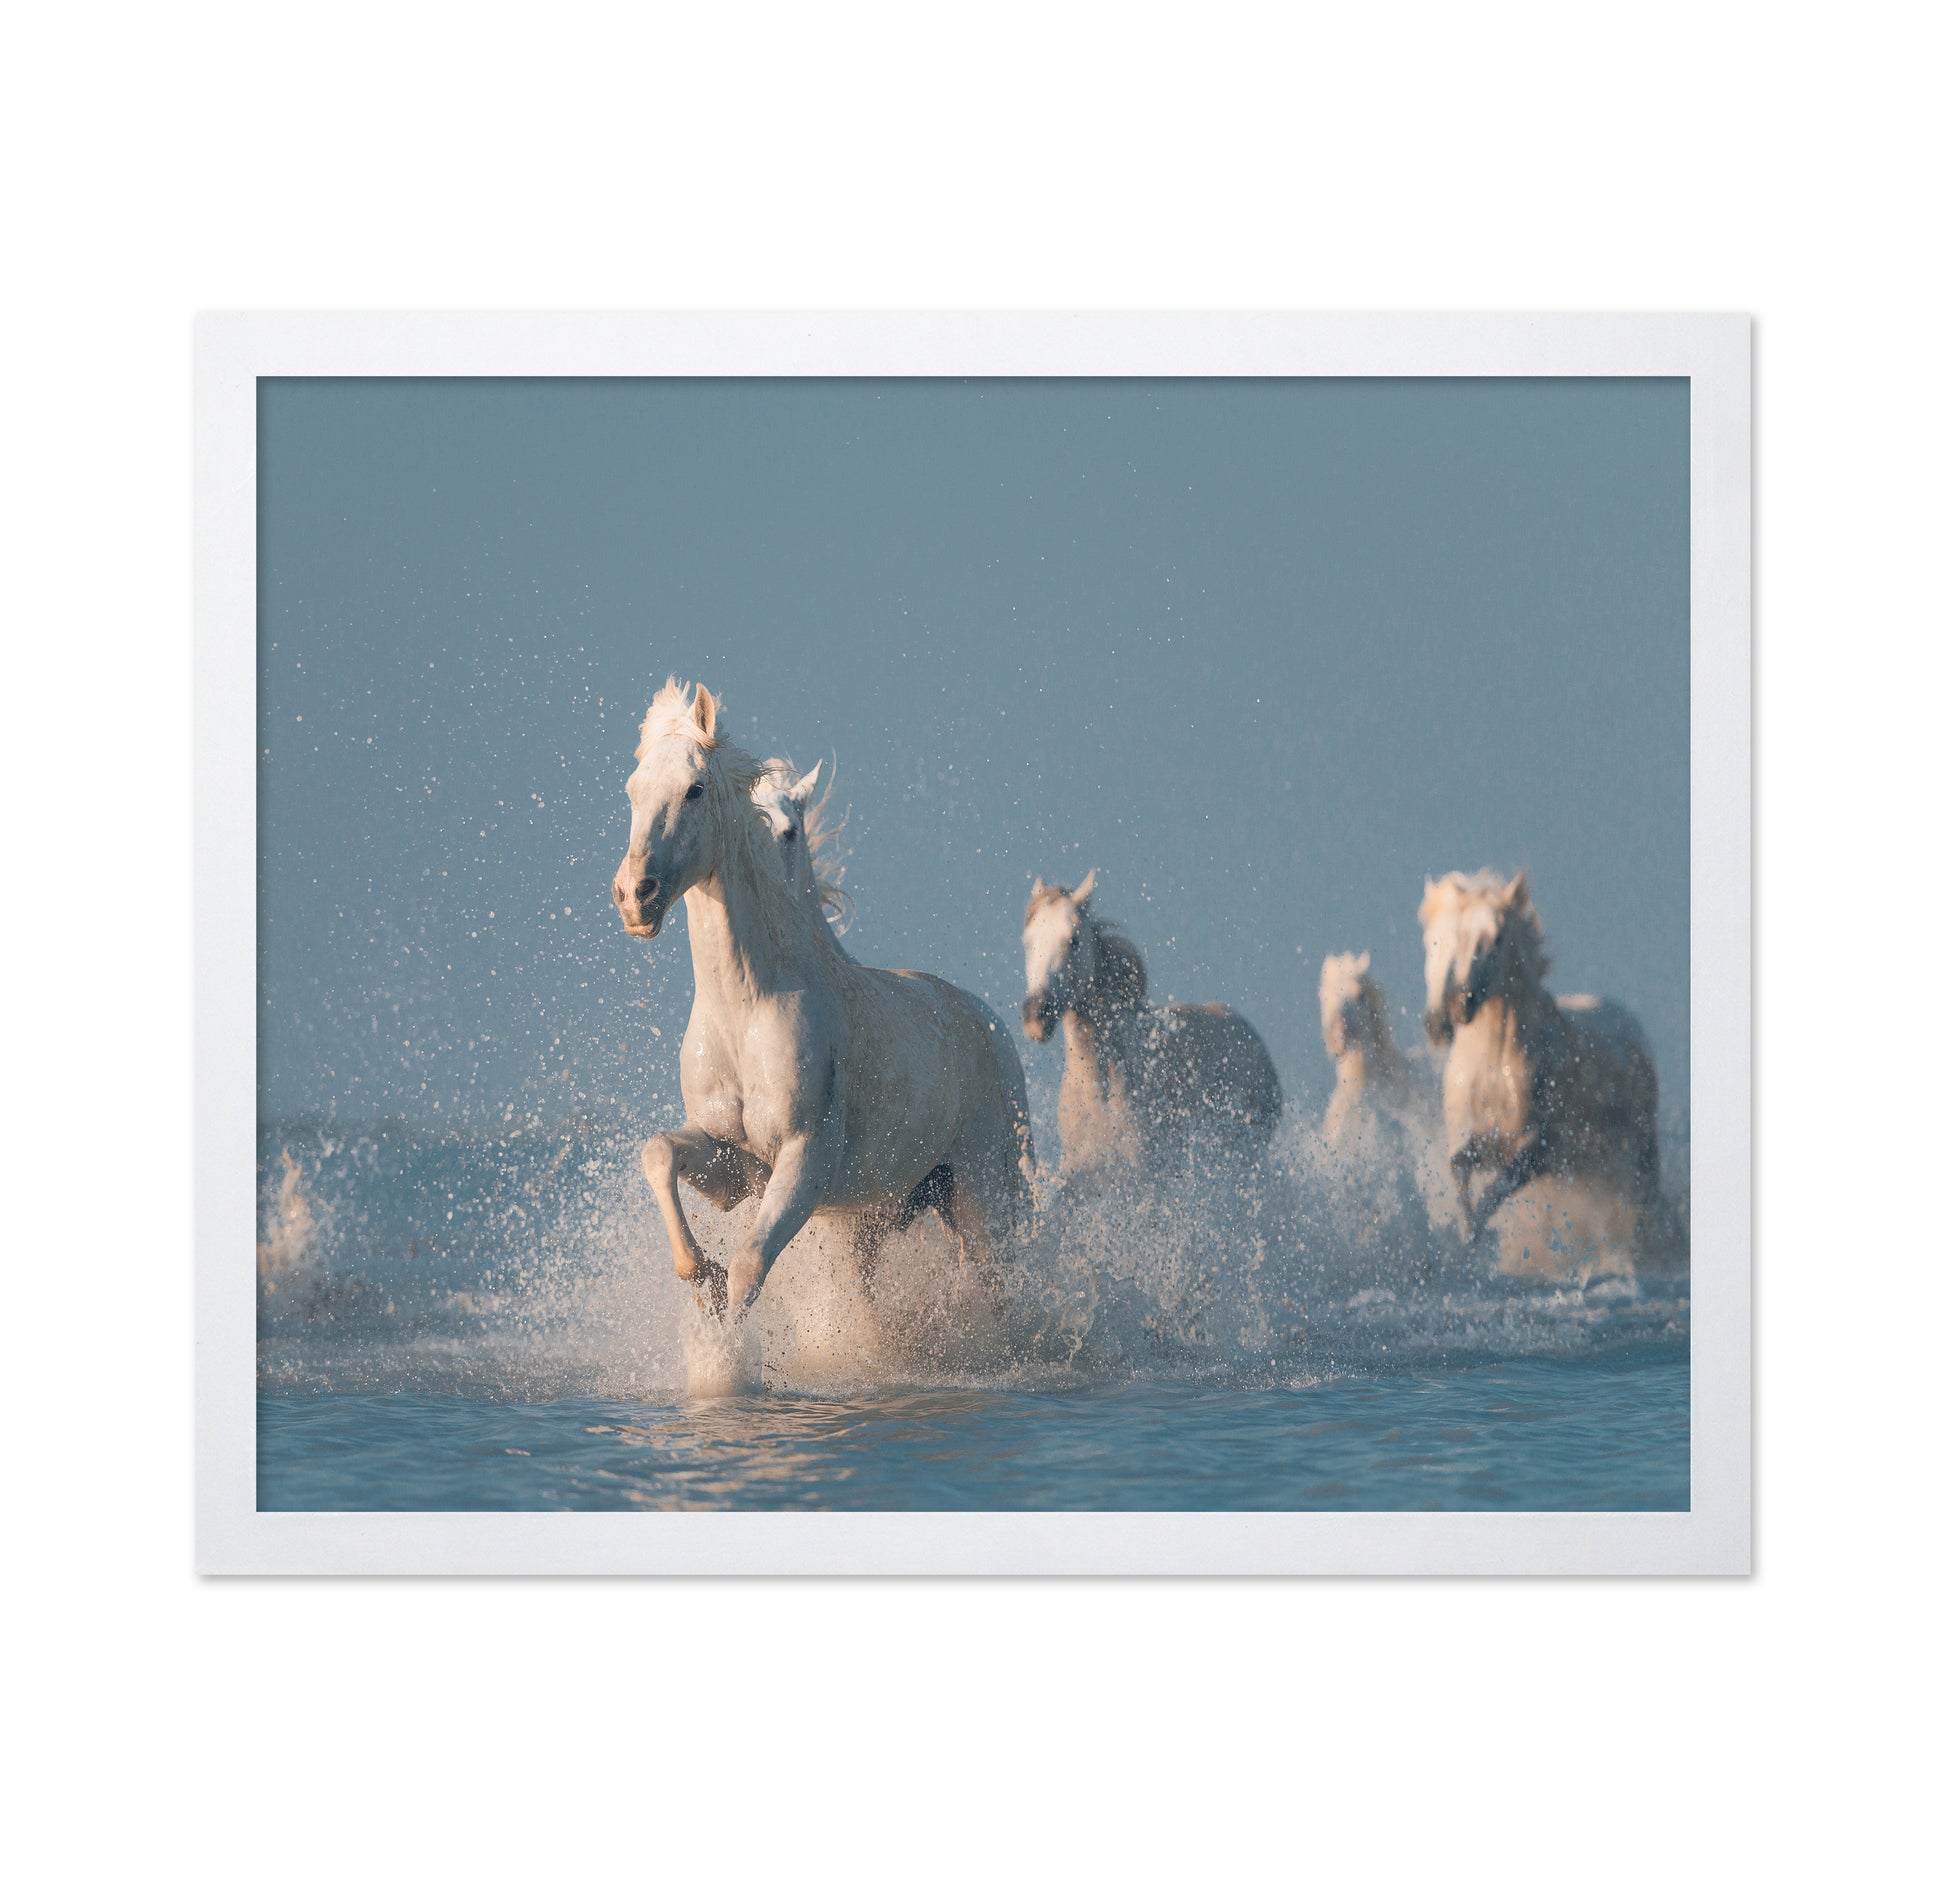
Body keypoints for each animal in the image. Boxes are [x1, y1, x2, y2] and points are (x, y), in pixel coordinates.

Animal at [613, 680, 1034, 1320]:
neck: (747, 1009)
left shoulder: (804, 1163)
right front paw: (700, 1274)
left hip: (985, 1197)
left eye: (694, 789)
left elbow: (750, 1266)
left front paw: (725, 1330)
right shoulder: (736, 1164)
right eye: (633, 790)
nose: (635, 896)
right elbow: (658, 1152)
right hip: (887, 1213)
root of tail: (990, 1023)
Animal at [1418, 869, 1661, 1247]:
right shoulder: (1478, 1141)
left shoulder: (1536, 1152)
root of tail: (1630, 1023)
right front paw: (1467, 1234)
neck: (1492, 1065)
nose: (1450, 1014)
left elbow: (1495, 1190)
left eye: (1497, 938)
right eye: (1435, 940)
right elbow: (1459, 1167)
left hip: (1639, 1152)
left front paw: (1477, 1236)